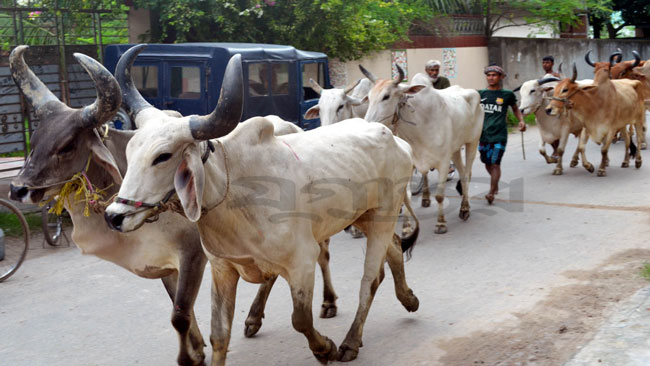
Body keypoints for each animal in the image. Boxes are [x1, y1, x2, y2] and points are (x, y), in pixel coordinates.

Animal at [8, 45, 208, 366]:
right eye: (35, 139)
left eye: (67, 146)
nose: (18, 188)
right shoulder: (166, 263)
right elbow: (180, 308)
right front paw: (198, 349)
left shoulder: (193, 255)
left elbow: (179, 315)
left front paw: (189, 357)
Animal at [103, 44, 418, 364]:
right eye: (129, 151)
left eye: (163, 156)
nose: (114, 216)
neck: (232, 195)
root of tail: (397, 141)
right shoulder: (223, 269)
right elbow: (219, 335)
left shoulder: (302, 261)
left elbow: (300, 319)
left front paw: (325, 347)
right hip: (362, 217)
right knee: (393, 248)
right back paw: (408, 298)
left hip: (383, 213)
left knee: (370, 279)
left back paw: (351, 341)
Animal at [360, 64, 480, 233]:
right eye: (369, 97)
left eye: (386, 96)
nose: (366, 125)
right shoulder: (410, 163)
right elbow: (407, 196)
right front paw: (406, 227)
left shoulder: (443, 162)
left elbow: (440, 196)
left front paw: (441, 223)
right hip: (456, 149)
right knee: (462, 172)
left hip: (472, 142)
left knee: (466, 175)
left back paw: (464, 209)